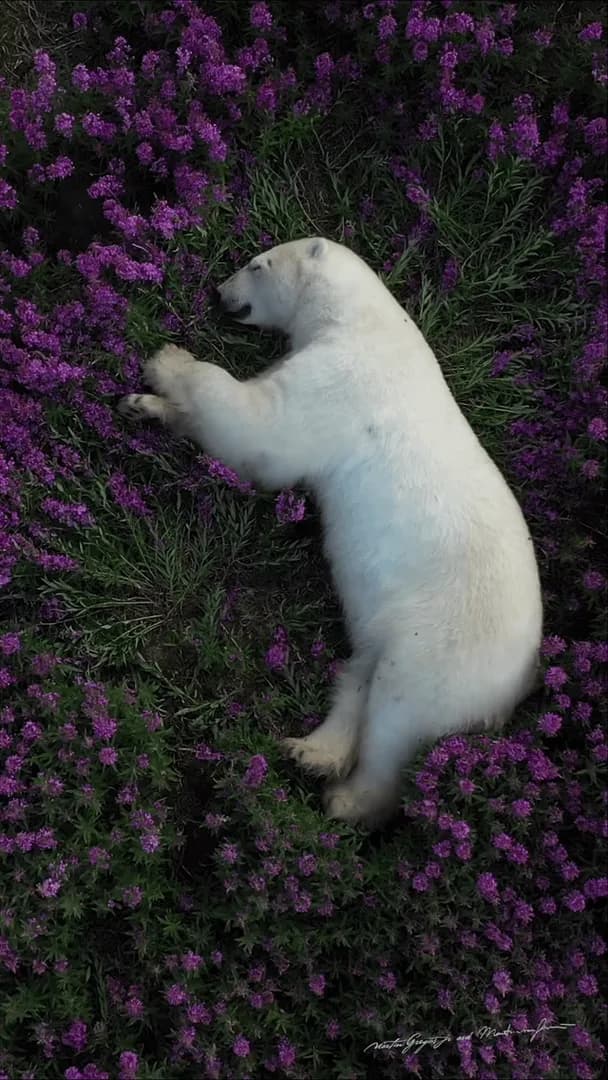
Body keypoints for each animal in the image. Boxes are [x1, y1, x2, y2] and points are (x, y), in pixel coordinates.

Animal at [118, 236, 543, 828]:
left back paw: (346, 799)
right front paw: (142, 406)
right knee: (358, 673)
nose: (219, 293)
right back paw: (311, 751)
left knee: (396, 717)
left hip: (444, 648)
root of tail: (521, 684)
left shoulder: (341, 380)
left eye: (257, 264)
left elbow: (262, 428)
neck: (363, 320)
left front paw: (166, 362)